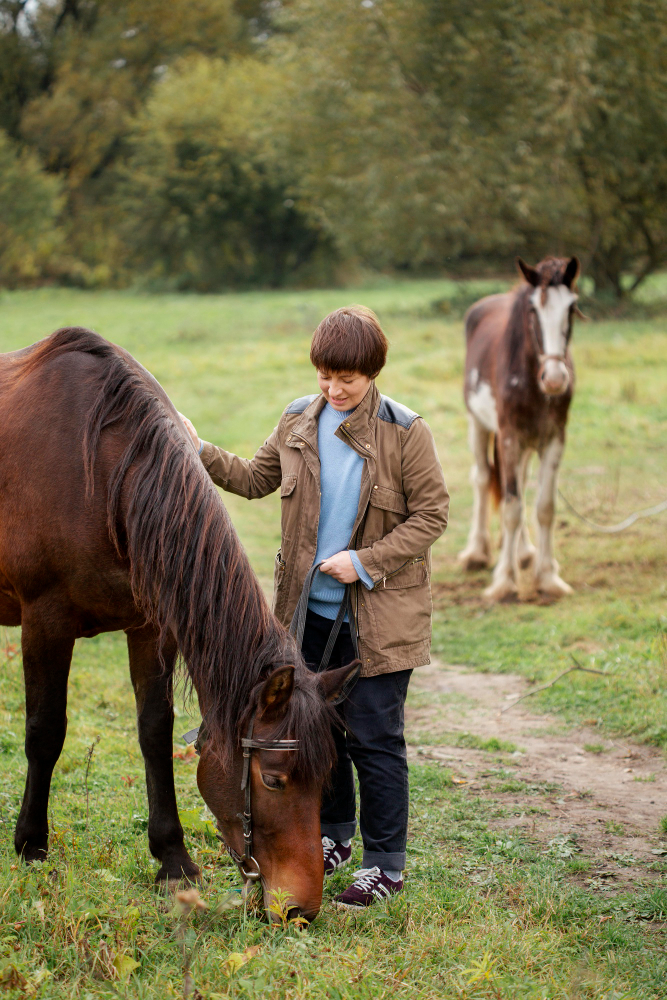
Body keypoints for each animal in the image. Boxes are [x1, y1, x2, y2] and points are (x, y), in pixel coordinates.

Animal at [0, 330, 358, 920]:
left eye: (329, 774)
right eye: (274, 780)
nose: (301, 909)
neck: (101, 477)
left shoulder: (152, 629)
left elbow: (154, 731)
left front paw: (172, 859)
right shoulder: (45, 622)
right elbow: (45, 731)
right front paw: (31, 845)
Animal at [460, 258, 580, 600]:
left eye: (571, 307)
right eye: (533, 310)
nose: (554, 379)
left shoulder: (553, 440)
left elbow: (544, 506)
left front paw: (548, 577)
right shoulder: (510, 438)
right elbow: (511, 506)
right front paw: (504, 581)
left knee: (519, 484)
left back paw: (524, 552)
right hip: (480, 425)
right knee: (483, 478)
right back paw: (477, 552)